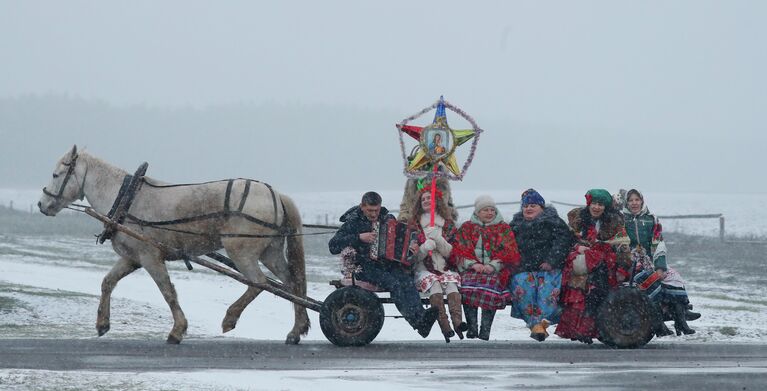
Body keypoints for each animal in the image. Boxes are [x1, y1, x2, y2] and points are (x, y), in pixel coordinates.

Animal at [38, 145, 308, 344]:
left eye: (55, 174)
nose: (42, 205)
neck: (127, 198)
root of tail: (276, 195)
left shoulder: (150, 257)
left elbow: (167, 290)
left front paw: (177, 330)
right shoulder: (132, 258)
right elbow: (108, 282)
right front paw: (102, 324)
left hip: (242, 252)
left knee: (258, 283)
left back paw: (231, 317)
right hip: (270, 252)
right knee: (291, 283)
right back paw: (297, 330)